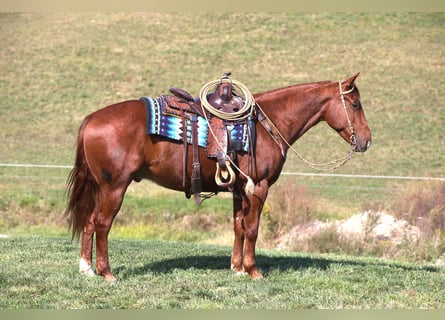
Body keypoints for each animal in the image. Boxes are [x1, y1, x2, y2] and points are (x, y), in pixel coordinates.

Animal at [65, 72, 372, 280]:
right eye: (355, 104)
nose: (366, 141)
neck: (267, 123)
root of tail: (92, 119)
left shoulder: (240, 190)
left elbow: (238, 226)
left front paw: (236, 268)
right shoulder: (259, 188)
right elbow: (253, 228)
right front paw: (253, 270)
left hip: (101, 188)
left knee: (90, 222)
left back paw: (86, 268)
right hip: (114, 187)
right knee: (102, 223)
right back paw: (106, 273)